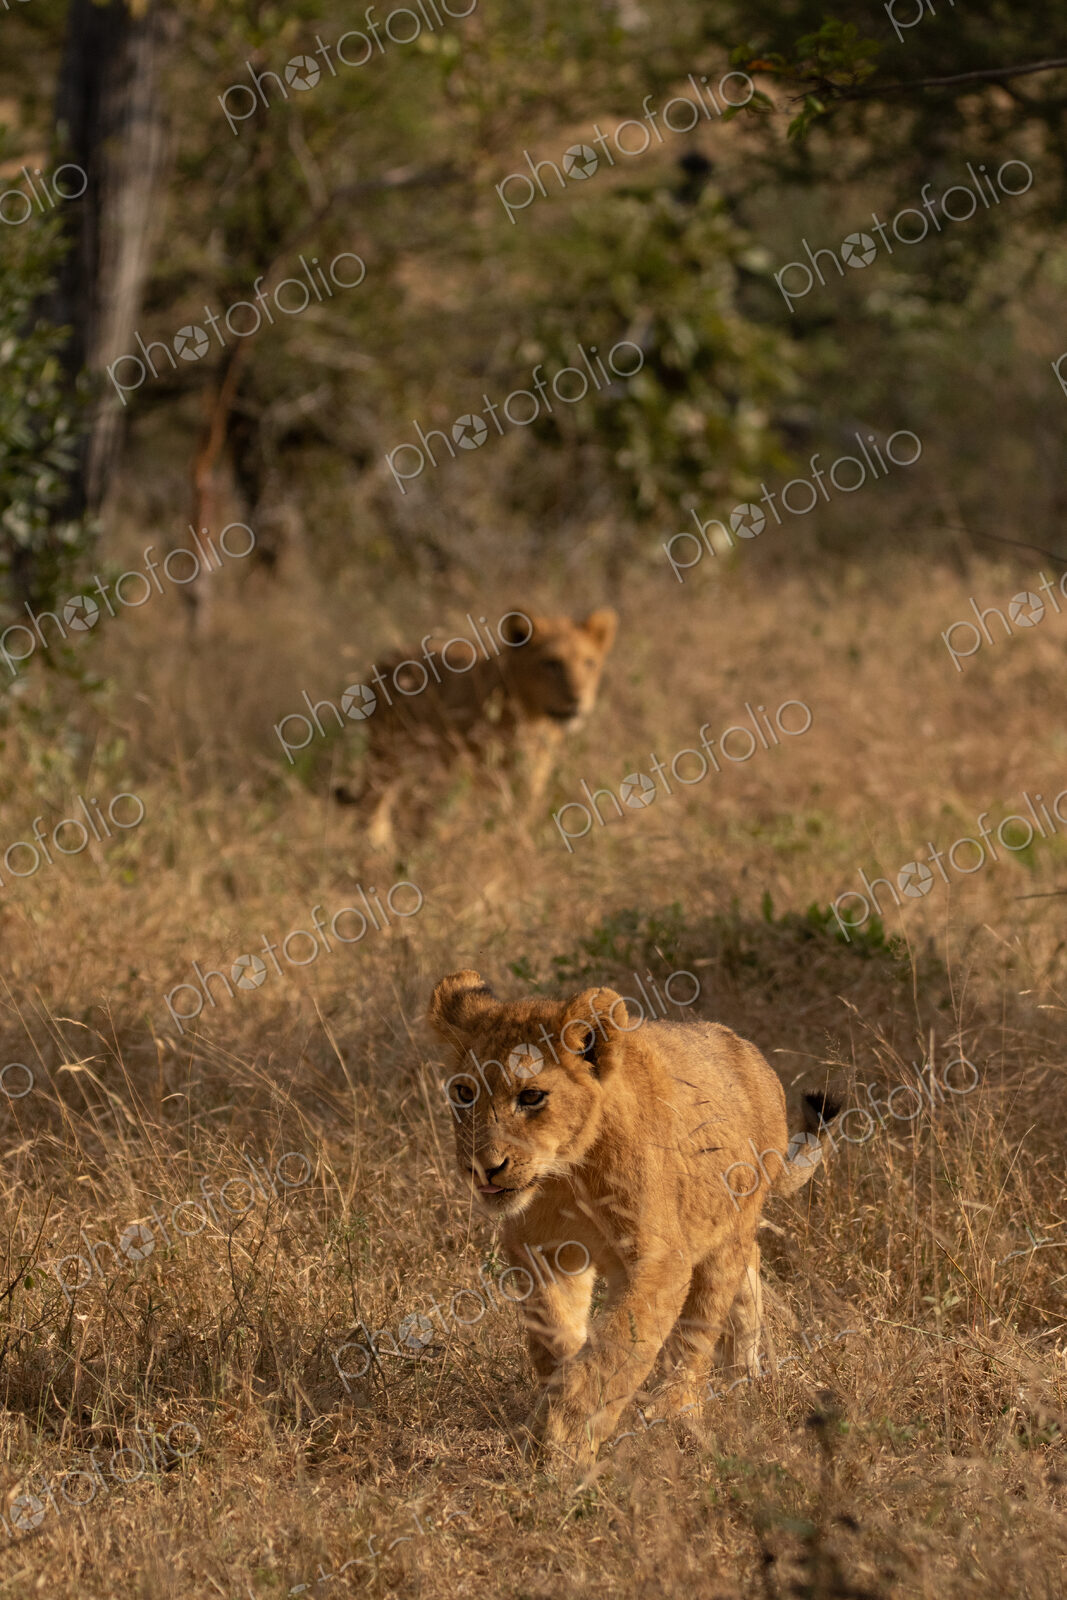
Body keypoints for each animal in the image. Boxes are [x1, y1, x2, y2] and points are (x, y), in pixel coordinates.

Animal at [335, 608, 617, 850]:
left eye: (589, 663)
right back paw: (376, 844)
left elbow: (518, 816)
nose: (576, 700)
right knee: (375, 802)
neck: (532, 719)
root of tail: (386, 657)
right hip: (387, 754)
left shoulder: (533, 773)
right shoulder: (464, 766)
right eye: (551, 663)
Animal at [428, 969, 835, 1465]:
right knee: (749, 1273)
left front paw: (566, 1440)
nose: (483, 1167)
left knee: (700, 1329)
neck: (568, 1173)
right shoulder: (541, 1250)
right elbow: (556, 1334)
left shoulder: (659, 1259)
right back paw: (747, 1374)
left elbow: (619, 1345)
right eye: (464, 1092)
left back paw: (677, 1408)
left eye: (531, 1096)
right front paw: (553, 1405)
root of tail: (752, 1055)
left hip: (724, 1233)